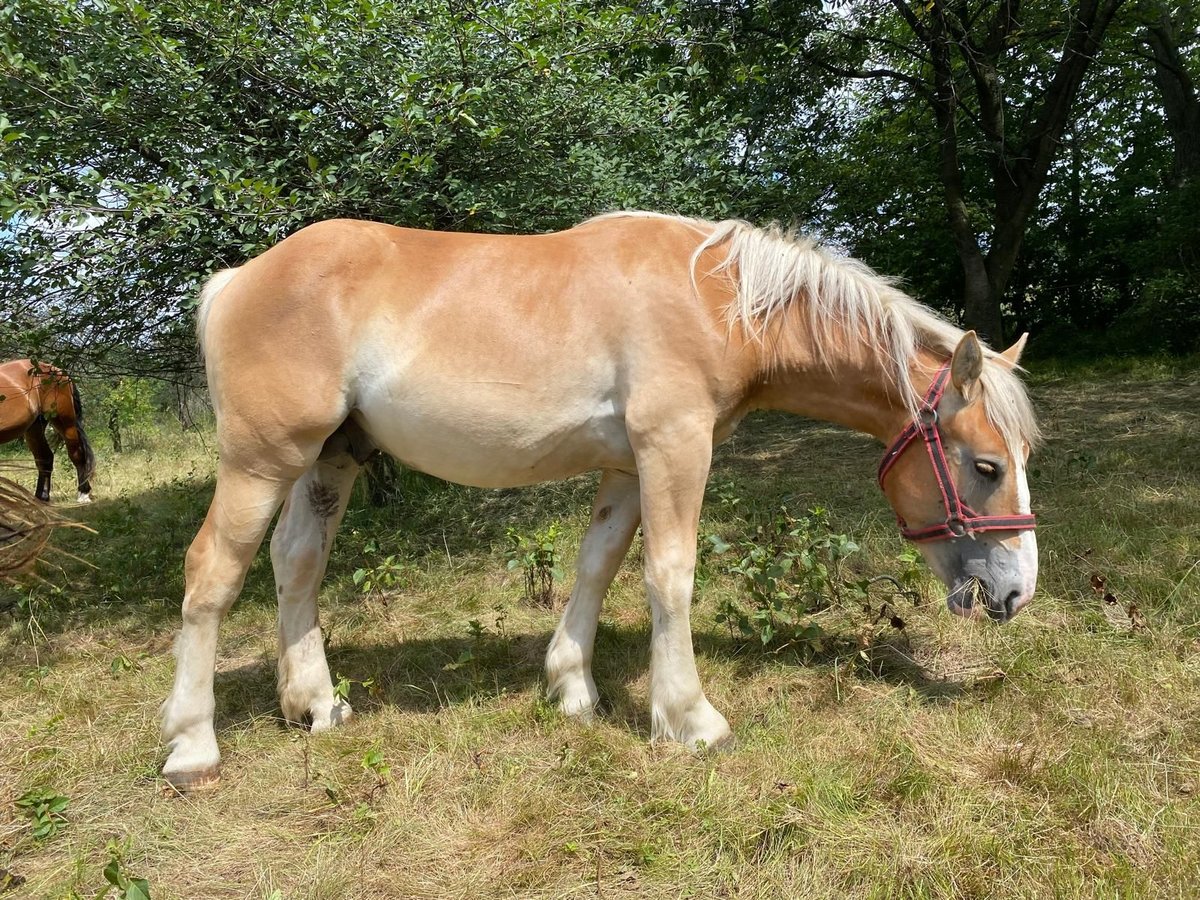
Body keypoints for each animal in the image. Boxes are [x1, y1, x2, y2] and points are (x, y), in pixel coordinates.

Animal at [0, 357, 94, 501]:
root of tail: (58, 371)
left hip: (65, 423)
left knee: (77, 455)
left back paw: (83, 494)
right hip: (35, 428)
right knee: (45, 458)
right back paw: (41, 497)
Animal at [162, 213, 1041, 787]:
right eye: (987, 466)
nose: (1016, 592)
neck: (718, 299)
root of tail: (239, 279)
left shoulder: (626, 467)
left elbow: (598, 565)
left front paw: (572, 690)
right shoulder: (674, 447)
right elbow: (670, 576)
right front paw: (689, 719)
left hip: (329, 459)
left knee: (296, 563)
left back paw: (315, 703)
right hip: (261, 459)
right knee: (210, 575)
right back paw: (192, 747)